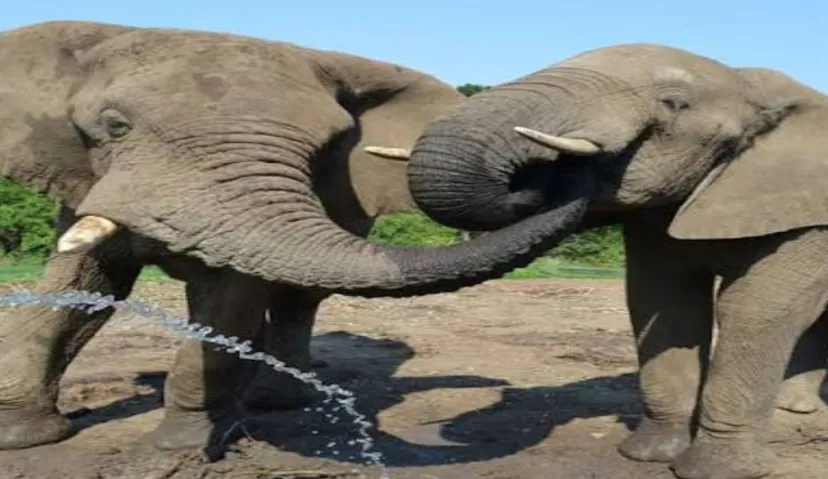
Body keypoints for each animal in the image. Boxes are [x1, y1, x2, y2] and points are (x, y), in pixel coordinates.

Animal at [0, 21, 590, 453]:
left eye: (327, 146)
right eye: (113, 127)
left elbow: (229, 297)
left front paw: (177, 452)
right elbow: (75, 292)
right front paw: (24, 439)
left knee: (296, 297)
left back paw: (276, 401)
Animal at [366, 45, 828, 479]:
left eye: (674, 103)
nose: (548, 174)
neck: (749, 82)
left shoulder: (807, 215)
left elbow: (754, 310)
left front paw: (714, 473)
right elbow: (663, 304)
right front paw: (647, 455)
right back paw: (793, 407)